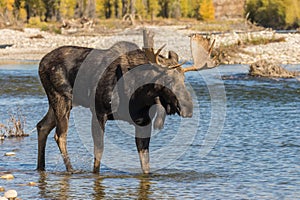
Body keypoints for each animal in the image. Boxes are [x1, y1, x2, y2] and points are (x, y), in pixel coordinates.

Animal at [37, 31, 216, 173]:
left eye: (184, 79)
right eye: (167, 80)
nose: (188, 108)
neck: (138, 95)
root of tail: (41, 63)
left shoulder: (144, 122)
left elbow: (145, 163)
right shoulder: (99, 112)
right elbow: (98, 153)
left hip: (60, 103)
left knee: (42, 126)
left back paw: (41, 167)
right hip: (61, 99)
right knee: (60, 135)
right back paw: (71, 170)